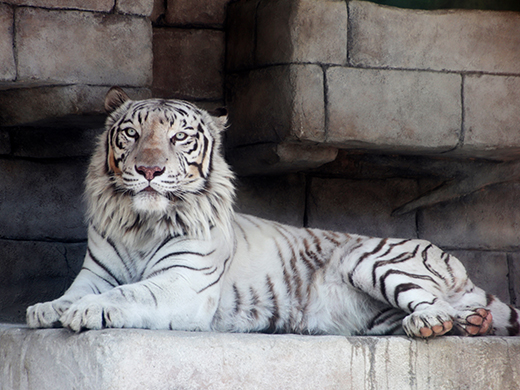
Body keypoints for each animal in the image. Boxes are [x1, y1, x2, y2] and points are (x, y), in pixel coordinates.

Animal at [27, 87, 520, 336]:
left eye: (178, 138)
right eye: (131, 132)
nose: (149, 169)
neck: (141, 224)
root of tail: (453, 261)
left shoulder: (183, 282)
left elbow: (129, 294)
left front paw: (86, 312)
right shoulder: (95, 273)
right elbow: (75, 293)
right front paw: (45, 308)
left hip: (372, 259)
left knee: (433, 303)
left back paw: (434, 323)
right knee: (454, 310)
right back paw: (472, 323)